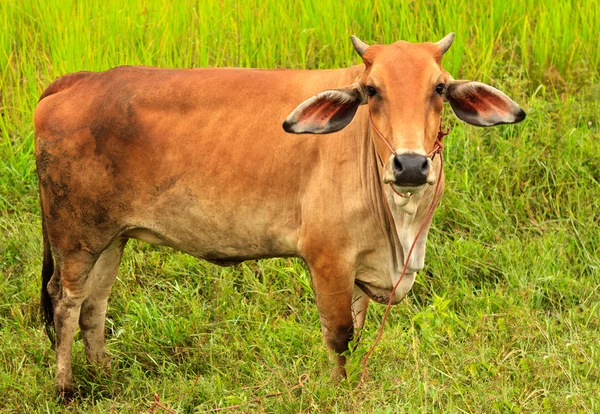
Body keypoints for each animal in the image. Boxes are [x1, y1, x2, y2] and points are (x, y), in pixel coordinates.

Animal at [34, 33, 524, 398]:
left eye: (439, 88)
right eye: (371, 90)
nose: (410, 165)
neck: (401, 225)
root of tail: (80, 81)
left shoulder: (361, 265)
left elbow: (359, 328)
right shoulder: (328, 259)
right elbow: (340, 334)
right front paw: (339, 392)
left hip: (109, 237)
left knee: (94, 305)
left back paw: (104, 374)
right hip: (74, 235)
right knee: (65, 301)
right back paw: (65, 388)